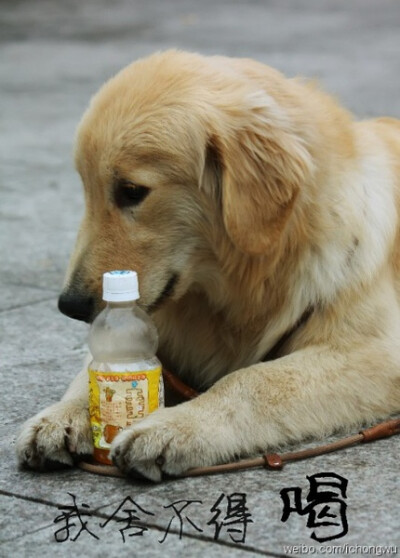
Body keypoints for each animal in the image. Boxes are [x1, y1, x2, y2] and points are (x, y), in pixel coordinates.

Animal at [15, 50, 400, 484]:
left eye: (131, 191)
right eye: (86, 190)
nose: (69, 306)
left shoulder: (377, 353)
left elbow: (252, 380)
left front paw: (172, 428)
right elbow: (94, 368)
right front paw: (63, 415)